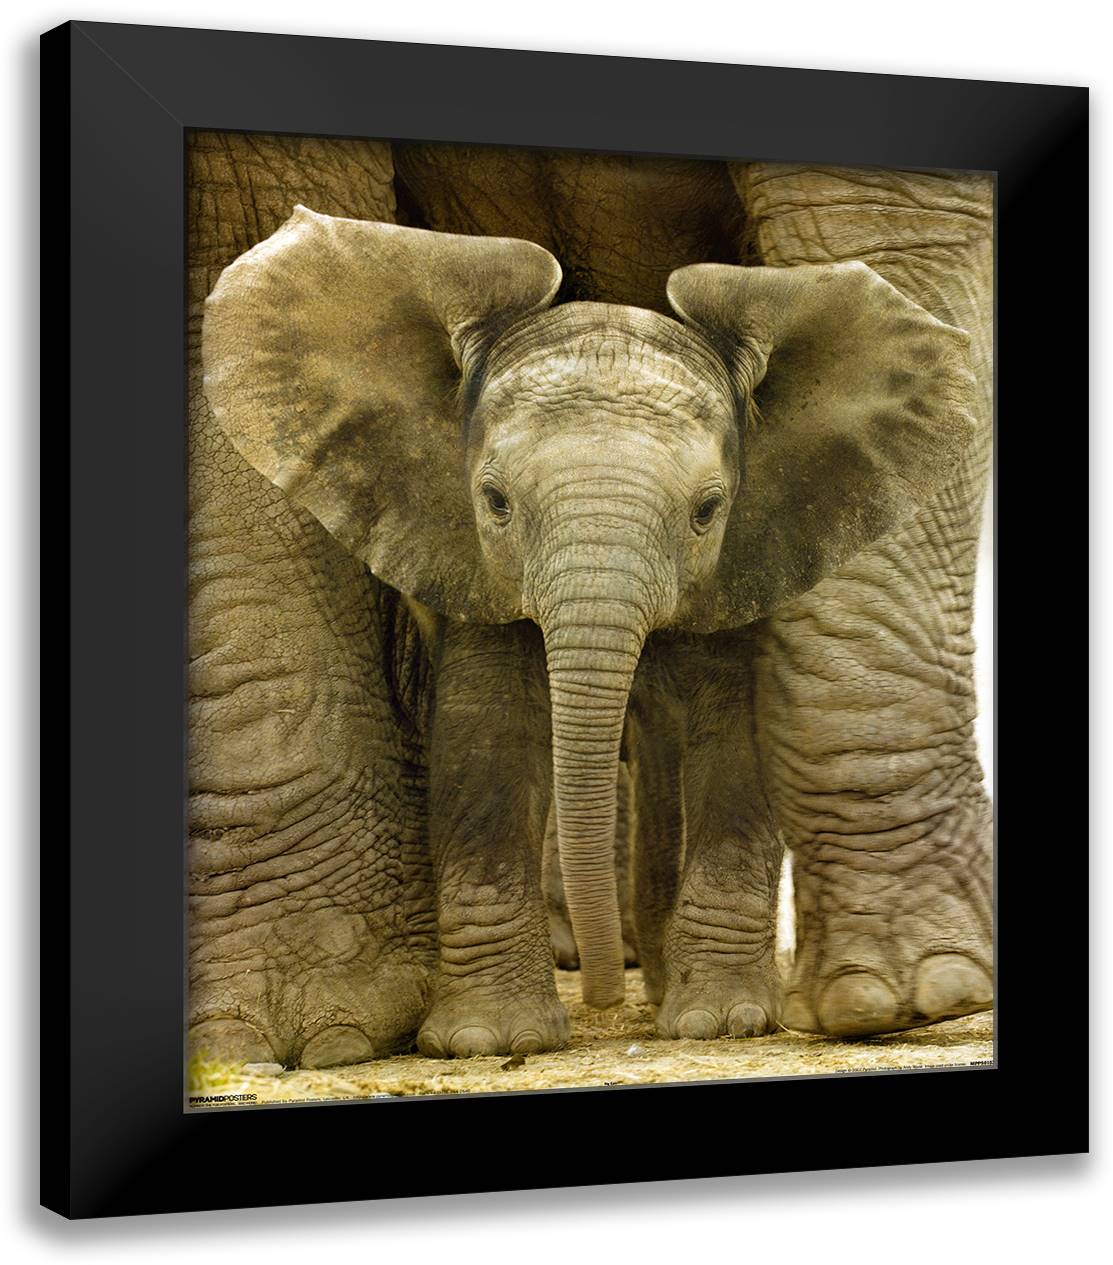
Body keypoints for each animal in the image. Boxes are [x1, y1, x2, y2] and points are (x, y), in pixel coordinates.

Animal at [188, 134, 993, 1067]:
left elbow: (729, 731)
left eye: (707, 509)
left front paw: (806, 1011)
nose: (607, 999)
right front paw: (462, 1038)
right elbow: (487, 730)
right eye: (494, 500)